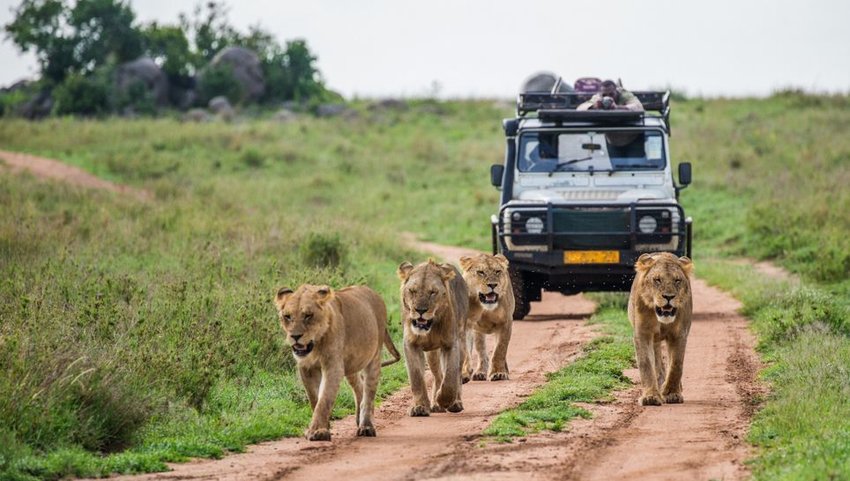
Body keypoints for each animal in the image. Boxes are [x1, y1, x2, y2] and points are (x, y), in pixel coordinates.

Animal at [274, 284, 400, 440]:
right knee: (359, 387)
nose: (295, 336)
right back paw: (358, 419)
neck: (316, 345)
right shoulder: (306, 368)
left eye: (308, 315)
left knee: (368, 394)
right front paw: (324, 428)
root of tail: (374, 292)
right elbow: (314, 399)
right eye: (287, 316)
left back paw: (366, 426)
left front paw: (317, 431)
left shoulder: (333, 366)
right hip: (351, 364)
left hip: (374, 357)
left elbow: (324, 399)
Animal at [394, 258, 468, 416]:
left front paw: (445, 400)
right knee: (437, 375)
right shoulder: (410, 344)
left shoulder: (451, 344)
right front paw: (420, 407)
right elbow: (416, 378)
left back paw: (454, 403)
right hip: (432, 354)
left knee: (457, 375)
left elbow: (450, 378)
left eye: (433, 292)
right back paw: (436, 405)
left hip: (462, 343)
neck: (430, 327)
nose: (420, 310)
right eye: (412, 291)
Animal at [628, 251, 692, 404]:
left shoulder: (679, 334)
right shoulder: (642, 333)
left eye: (677, 280)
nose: (668, 297)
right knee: (657, 361)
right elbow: (646, 364)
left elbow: (676, 365)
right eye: (657, 280)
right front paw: (650, 396)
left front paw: (671, 393)